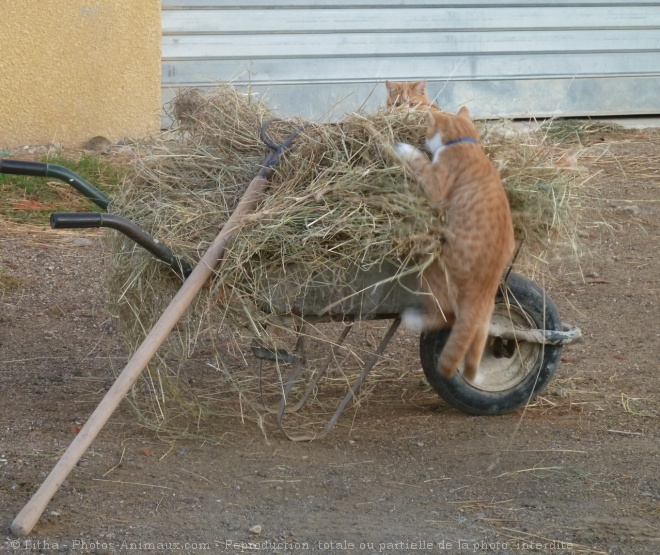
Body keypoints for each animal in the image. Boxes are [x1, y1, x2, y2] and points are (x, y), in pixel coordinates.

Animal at [392, 108, 516, 384]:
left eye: (428, 130)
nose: (423, 138)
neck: (465, 141)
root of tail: (480, 297)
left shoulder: (435, 187)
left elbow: (422, 164)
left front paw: (407, 150)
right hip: (485, 318)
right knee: (473, 347)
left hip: (431, 275)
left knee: (445, 316)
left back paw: (411, 319)